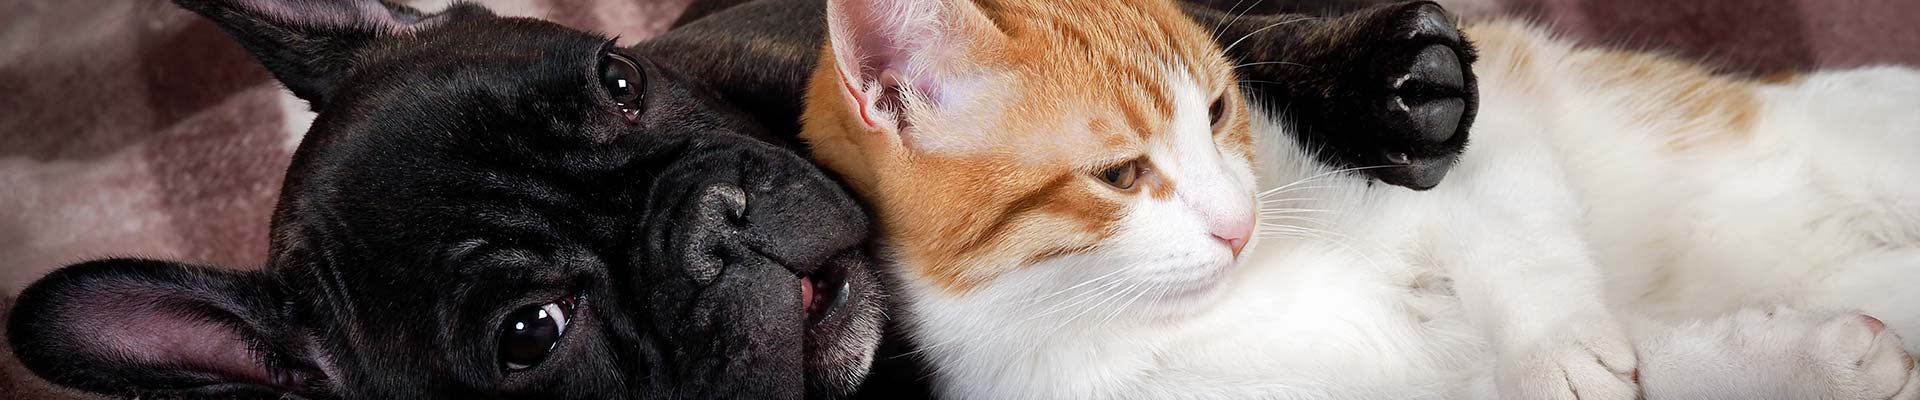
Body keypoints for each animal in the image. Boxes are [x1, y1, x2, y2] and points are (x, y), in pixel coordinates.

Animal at [794, 0, 1920, 396]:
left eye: (1219, 110)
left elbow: (1519, 248)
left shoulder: (1466, 144)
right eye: (1120, 175)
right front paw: (1821, 359)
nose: (1241, 219)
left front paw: (1556, 347)